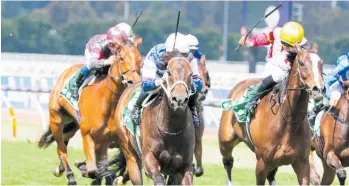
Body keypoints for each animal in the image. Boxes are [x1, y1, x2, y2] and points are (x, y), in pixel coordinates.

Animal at [37, 38, 142, 185]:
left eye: (140, 59)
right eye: (121, 58)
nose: (134, 81)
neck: (107, 103)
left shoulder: (113, 141)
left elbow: (110, 168)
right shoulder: (88, 136)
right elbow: (94, 170)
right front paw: (84, 168)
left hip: (72, 125)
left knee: (64, 142)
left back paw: (61, 169)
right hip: (56, 119)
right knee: (61, 149)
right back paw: (70, 176)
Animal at [219, 43, 324, 185]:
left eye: (321, 63)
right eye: (302, 63)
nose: (318, 88)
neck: (288, 122)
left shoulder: (302, 163)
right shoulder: (262, 163)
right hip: (226, 141)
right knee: (228, 162)